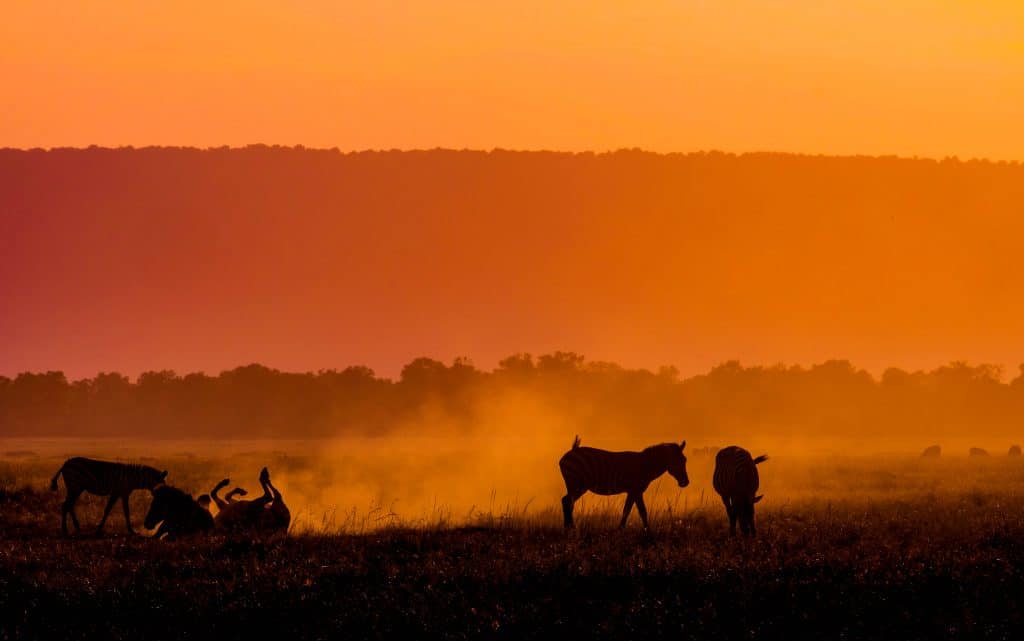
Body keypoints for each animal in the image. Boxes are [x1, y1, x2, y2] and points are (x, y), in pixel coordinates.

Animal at [557, 434, 692, 528]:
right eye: (677, 461)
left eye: (685, 460)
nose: (685, 483)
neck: (645, 465)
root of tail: (571, 451)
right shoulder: (635, 490)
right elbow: (638, 511)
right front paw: (644, 532)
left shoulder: (634, 491)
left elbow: (632, 511)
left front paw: (626, 529)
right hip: (577, 484)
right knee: (567, 501)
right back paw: (570, 527)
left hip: (577, 486)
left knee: (567, 502)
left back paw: (568, 527)